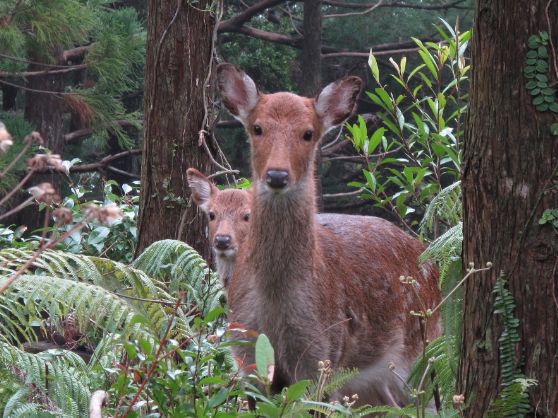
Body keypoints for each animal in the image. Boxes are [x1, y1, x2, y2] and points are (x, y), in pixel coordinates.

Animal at [217, 63, 440, 406]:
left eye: (308, 133)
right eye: (257, 128)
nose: (277, 175)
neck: (275, 303)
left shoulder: (321, 353)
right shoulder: (245, 353)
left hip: (424, 356)